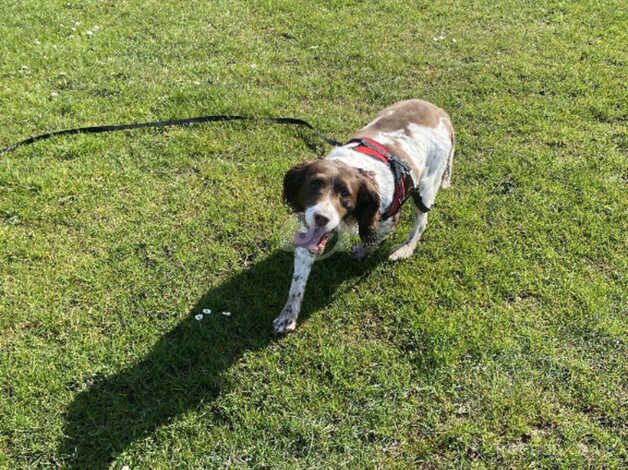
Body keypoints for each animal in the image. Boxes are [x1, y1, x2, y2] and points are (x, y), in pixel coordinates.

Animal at [272, 99, 454, 334]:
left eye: (345, 195)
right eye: (314, 185)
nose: (322, 218)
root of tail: (440, 111)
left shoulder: (387, 219)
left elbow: (371, 238)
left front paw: (362, 251)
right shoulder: (307, 232)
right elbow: (297, 282)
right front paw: (288, 315)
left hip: (426, 187)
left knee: (421, 222)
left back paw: (405, 249)